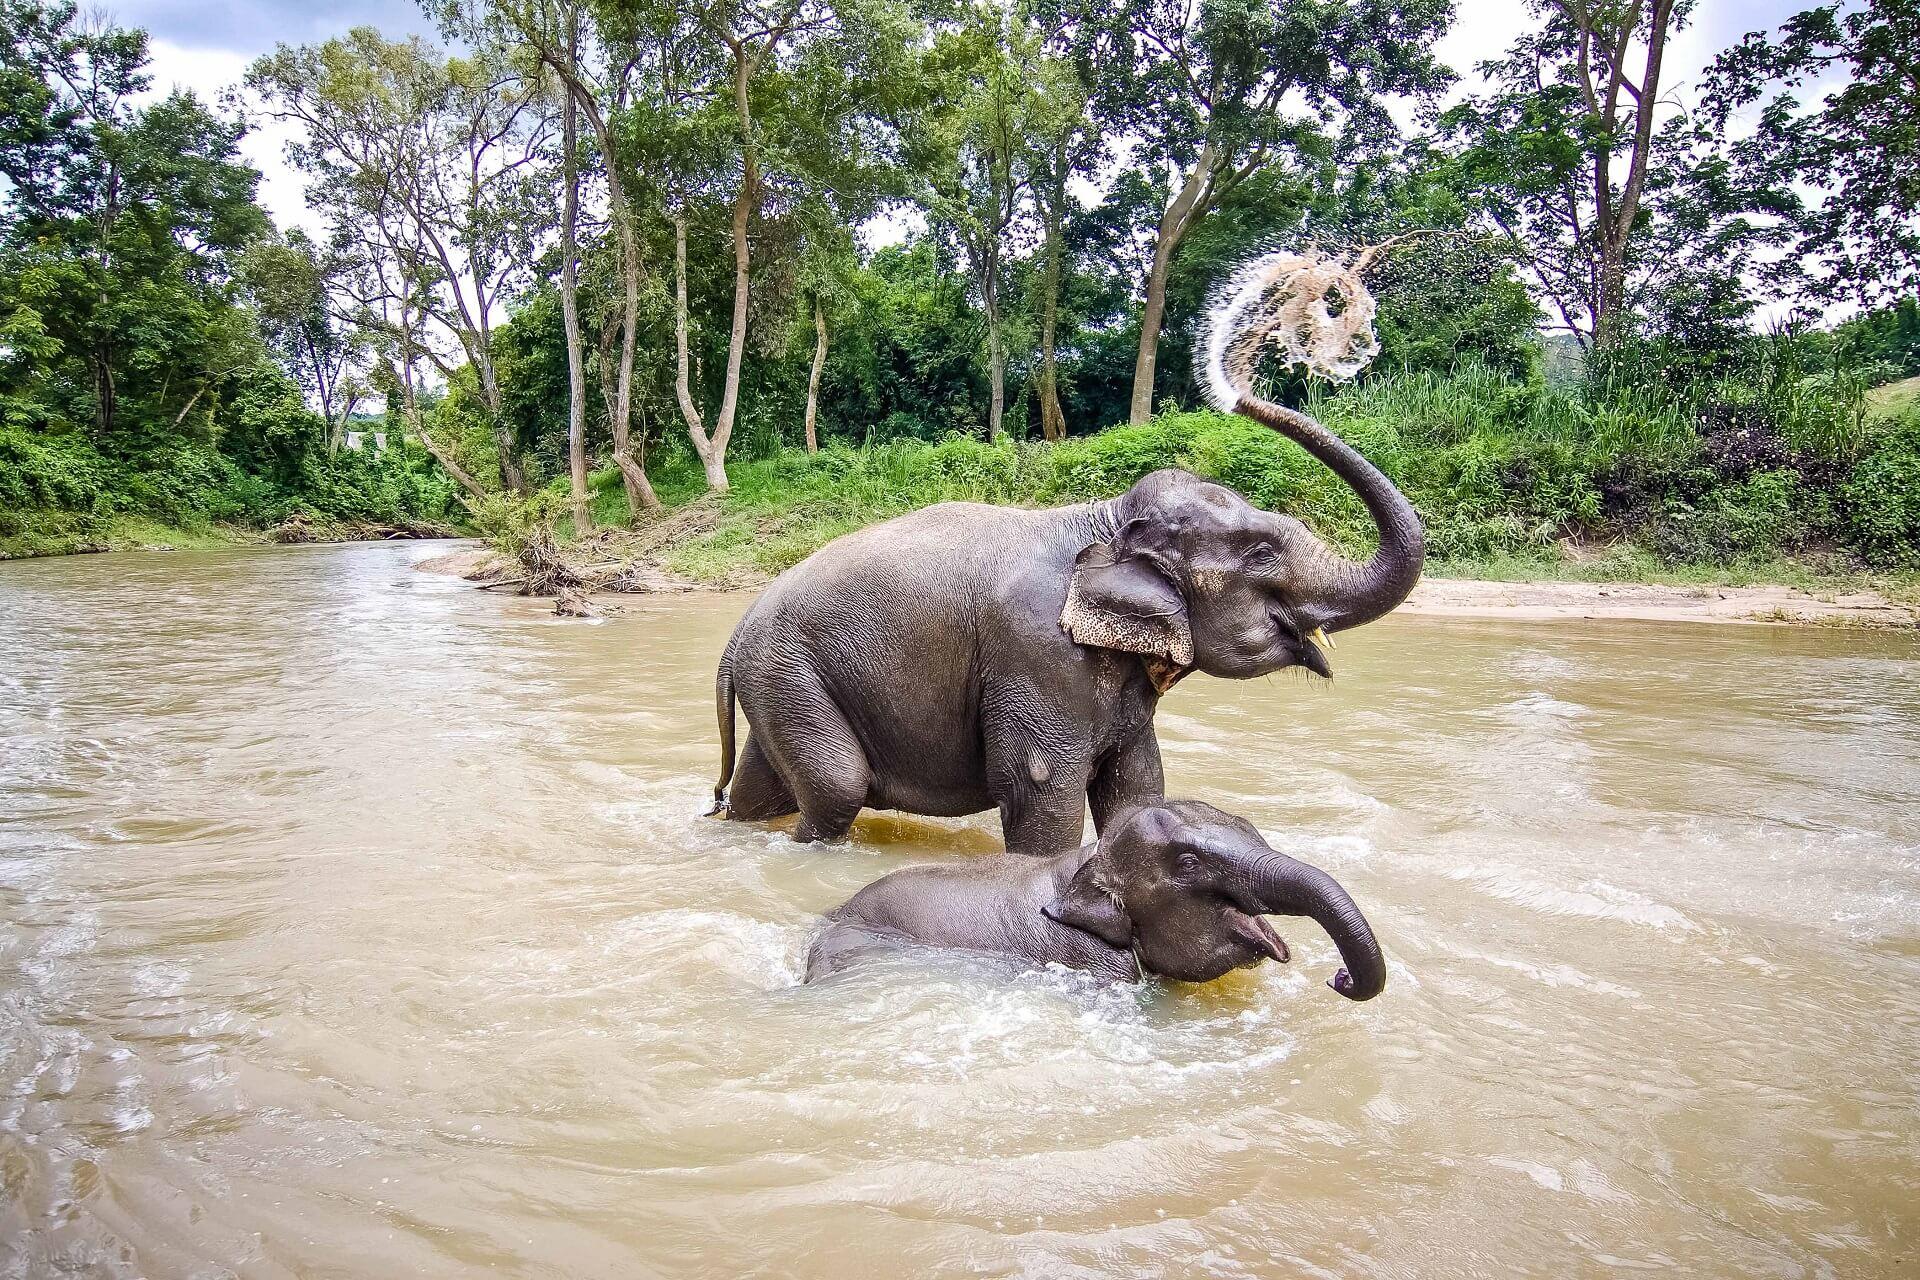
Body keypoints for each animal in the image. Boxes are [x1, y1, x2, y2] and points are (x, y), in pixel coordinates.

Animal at [711, 278, 1424, 854]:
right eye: (1262, 552)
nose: (1246, 378)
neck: (1104, 518)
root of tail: (733, 638)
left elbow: (1137, 787)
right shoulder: (1038, 656)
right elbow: (1042, 787)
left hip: (778, 687)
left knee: (761, 789)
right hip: (791, 677)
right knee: (837, 787)